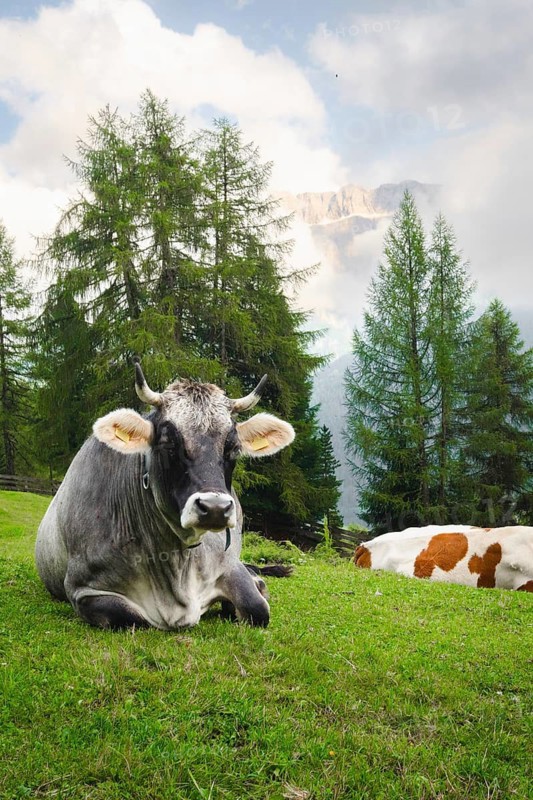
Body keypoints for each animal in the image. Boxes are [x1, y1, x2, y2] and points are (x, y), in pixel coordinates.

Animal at [35, 361, 295, 630]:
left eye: (233, 448)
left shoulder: (227, 565)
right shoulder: (83, 590)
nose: (215, 508)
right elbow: (134, 618)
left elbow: (256, 608)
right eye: (168, 443)